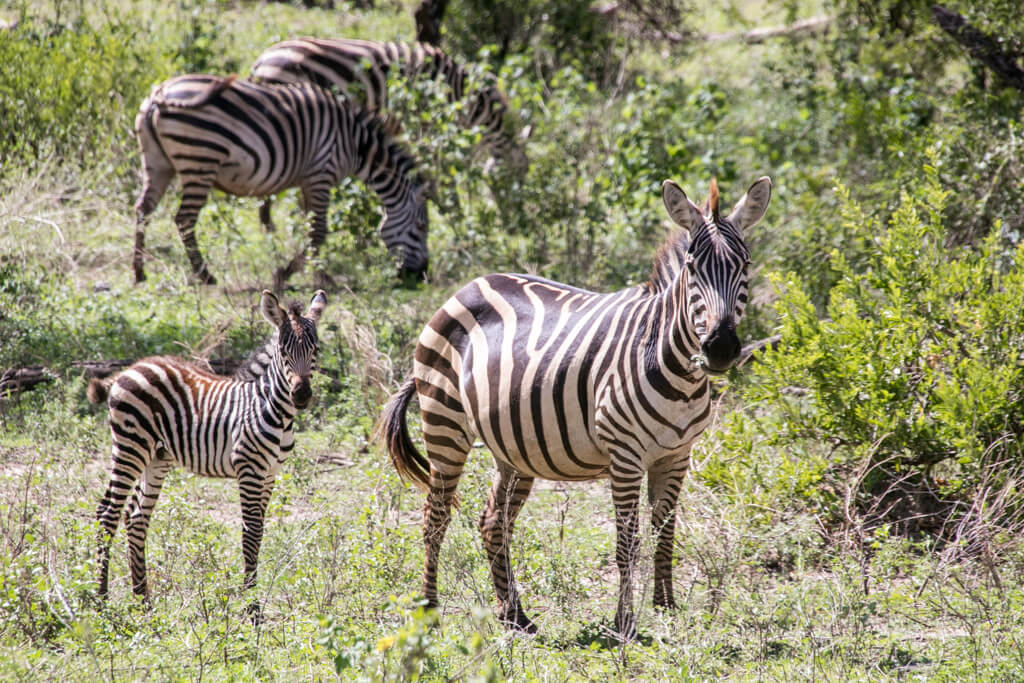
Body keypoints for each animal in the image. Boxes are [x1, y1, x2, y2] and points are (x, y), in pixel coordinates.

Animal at [91, 288, 325, 618]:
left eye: (315, 348)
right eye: (283, 350)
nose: (302, 395)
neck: (273, 408)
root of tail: (131, 368)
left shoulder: (270, 474)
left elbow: (260, 533)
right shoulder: (249, 469)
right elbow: (250, 533)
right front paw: (252, 610)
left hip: (157, 456)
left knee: (136, 517)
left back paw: (143, 603)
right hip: (130, 446)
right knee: (107, 514)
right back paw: (101, 601)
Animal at [132, 73, 428, 286]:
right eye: (421, 228)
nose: (422, 275)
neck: (356, 143)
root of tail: (159, 94)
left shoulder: (308, 180)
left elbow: (310, 228)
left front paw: (312, 273)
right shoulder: (322, 172)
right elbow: (319, 230)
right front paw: (299, 276)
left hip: (158, 163)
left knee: (143, 210)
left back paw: (139, 271)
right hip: (200, 159)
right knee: (184, 219)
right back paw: (205, 275)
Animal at [380, 176, 770, 643]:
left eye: (745, 264)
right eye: (693, 268)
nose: (721, 347)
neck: (671, 364)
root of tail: (468, 286)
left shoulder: (677, 456)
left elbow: (665, 532)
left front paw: (667, 609)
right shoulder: (625, 456)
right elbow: (627, 542)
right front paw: (625, 624)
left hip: (514, 447)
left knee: (493, 520)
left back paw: (515, 615)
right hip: (445, 422)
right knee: (435, 518)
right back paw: (429, 612)